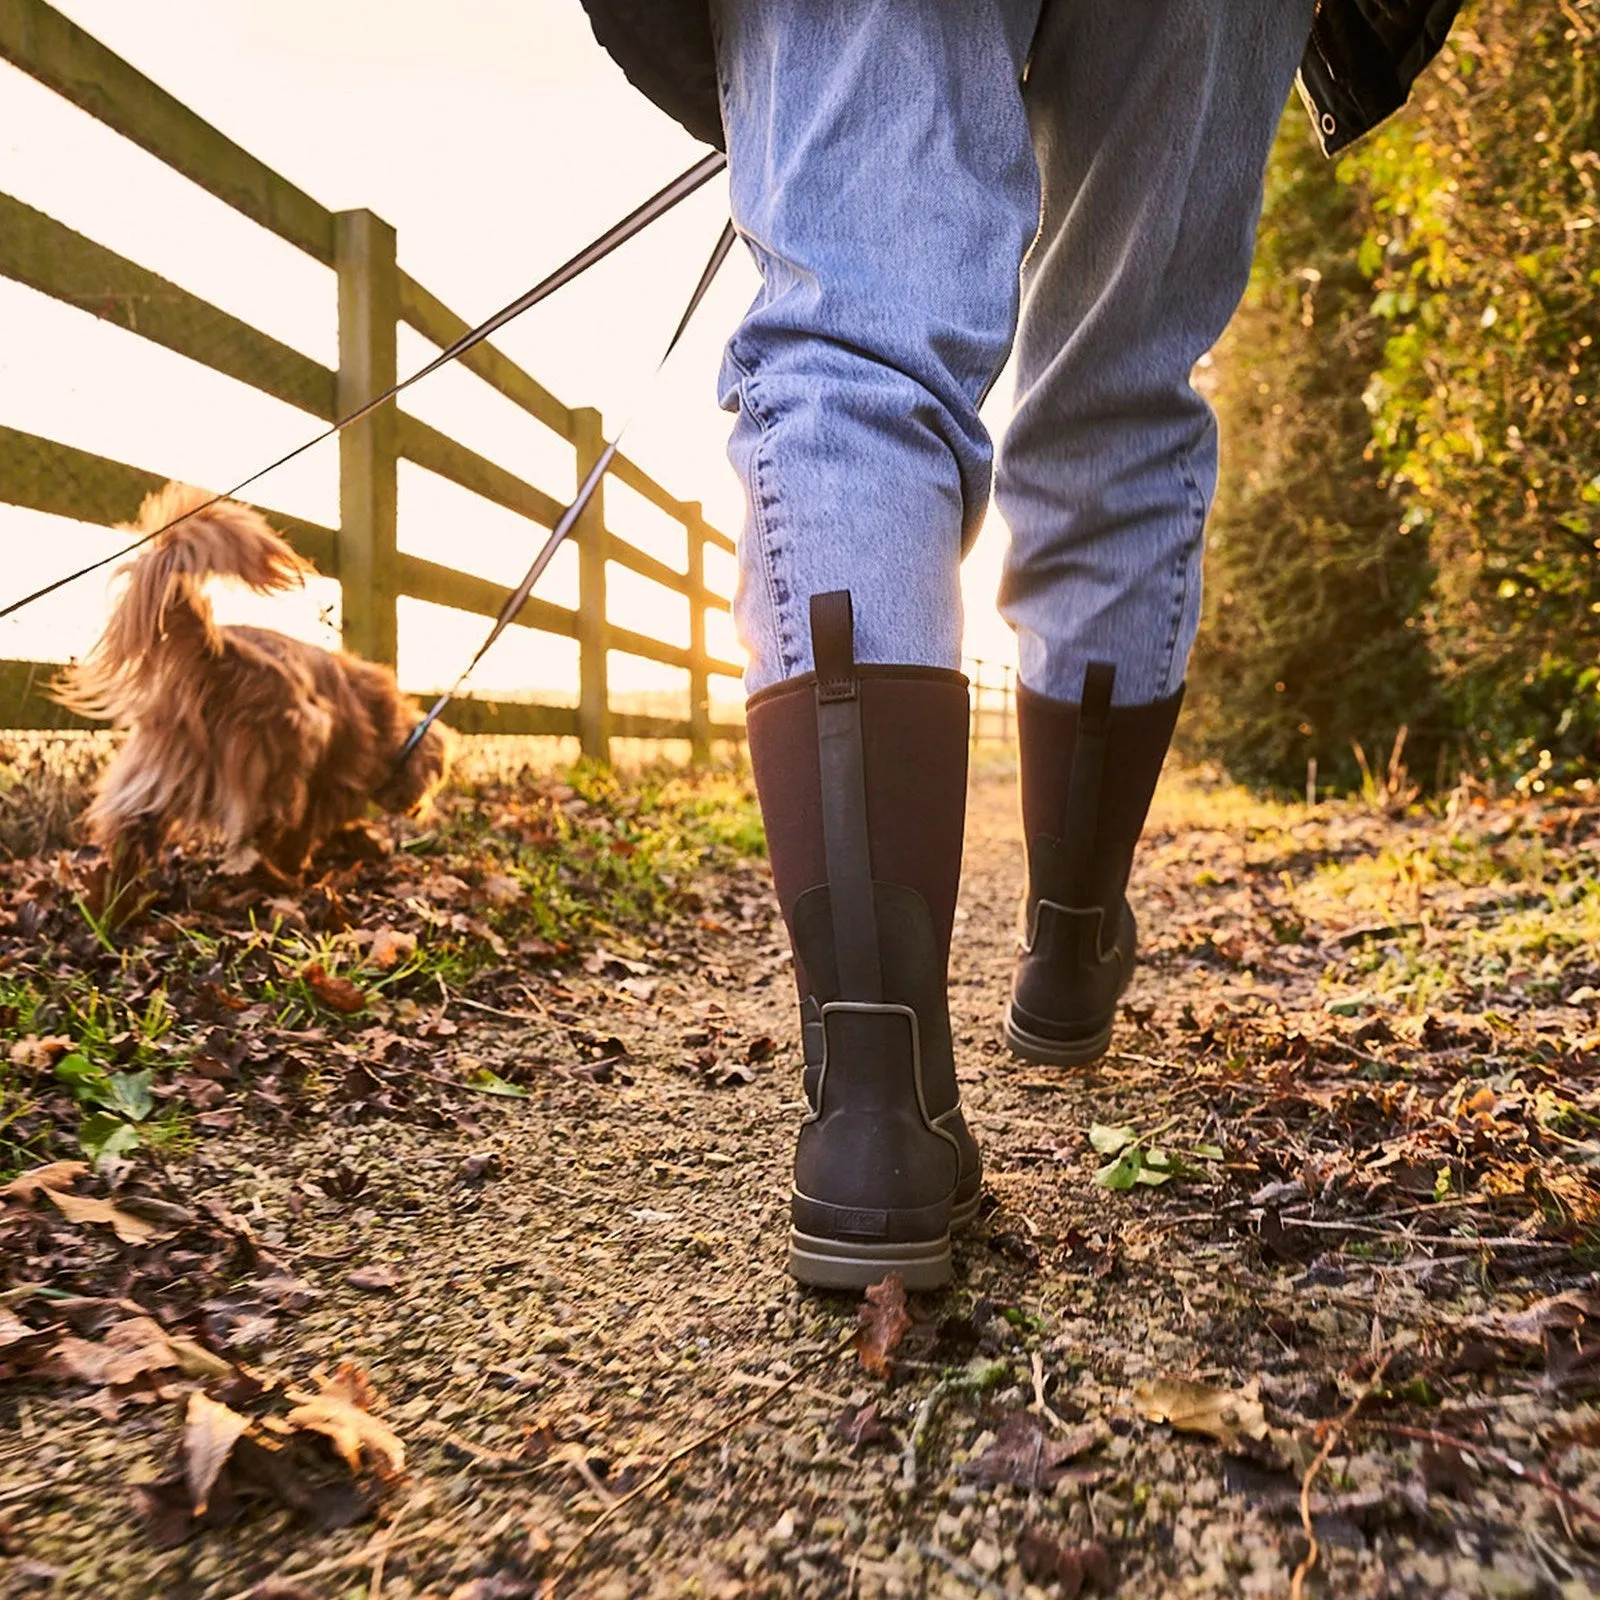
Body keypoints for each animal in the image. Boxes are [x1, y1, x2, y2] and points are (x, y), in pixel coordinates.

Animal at [59, 483, 448, 876]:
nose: (421, 810)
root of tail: (219, 652)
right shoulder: (329, 780)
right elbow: (315, 823)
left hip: (155, 767)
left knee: (130, 822)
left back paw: (123, 876)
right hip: (287, 750)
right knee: (268, 827)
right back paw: (276, 874)